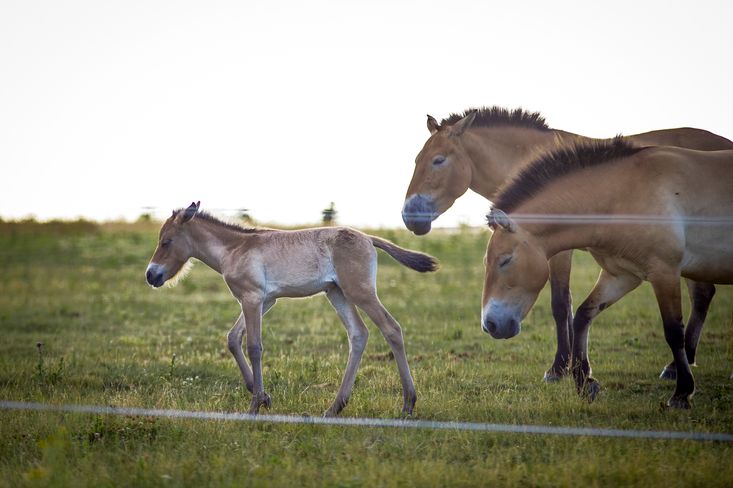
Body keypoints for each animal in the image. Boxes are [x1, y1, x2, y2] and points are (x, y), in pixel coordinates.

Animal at [146, 201, 438, 416]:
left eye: (166, 241)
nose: (151, 275)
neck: (235, 248)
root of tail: (367, 238)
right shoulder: (264, 301)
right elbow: (233, 339)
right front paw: (262, 395)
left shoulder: (252, 299)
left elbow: (254, 346)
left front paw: (255, 405)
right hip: (337, 293)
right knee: (358, 334)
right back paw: (334, 408)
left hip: (360, 291)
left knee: (391, 328)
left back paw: (408, 404)